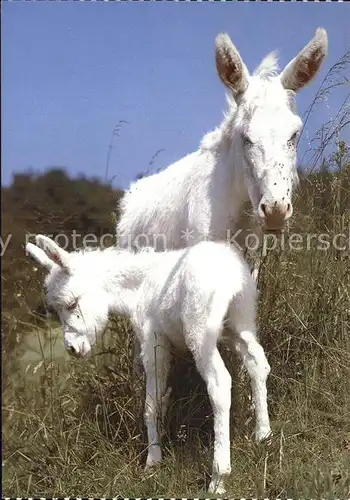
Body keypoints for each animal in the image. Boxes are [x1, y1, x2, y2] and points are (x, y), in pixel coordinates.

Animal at [27, 236, 272, 494]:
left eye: (72, 304)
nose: (73, 349)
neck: (139, 286)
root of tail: (232, 273)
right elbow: (162, 398)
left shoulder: (152, 340)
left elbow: (151, 404)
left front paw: (153, 460)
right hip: (240, 321)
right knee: (257, 362)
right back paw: (263, 435)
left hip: (201, 330)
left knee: (219, 383)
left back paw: (218, 477)